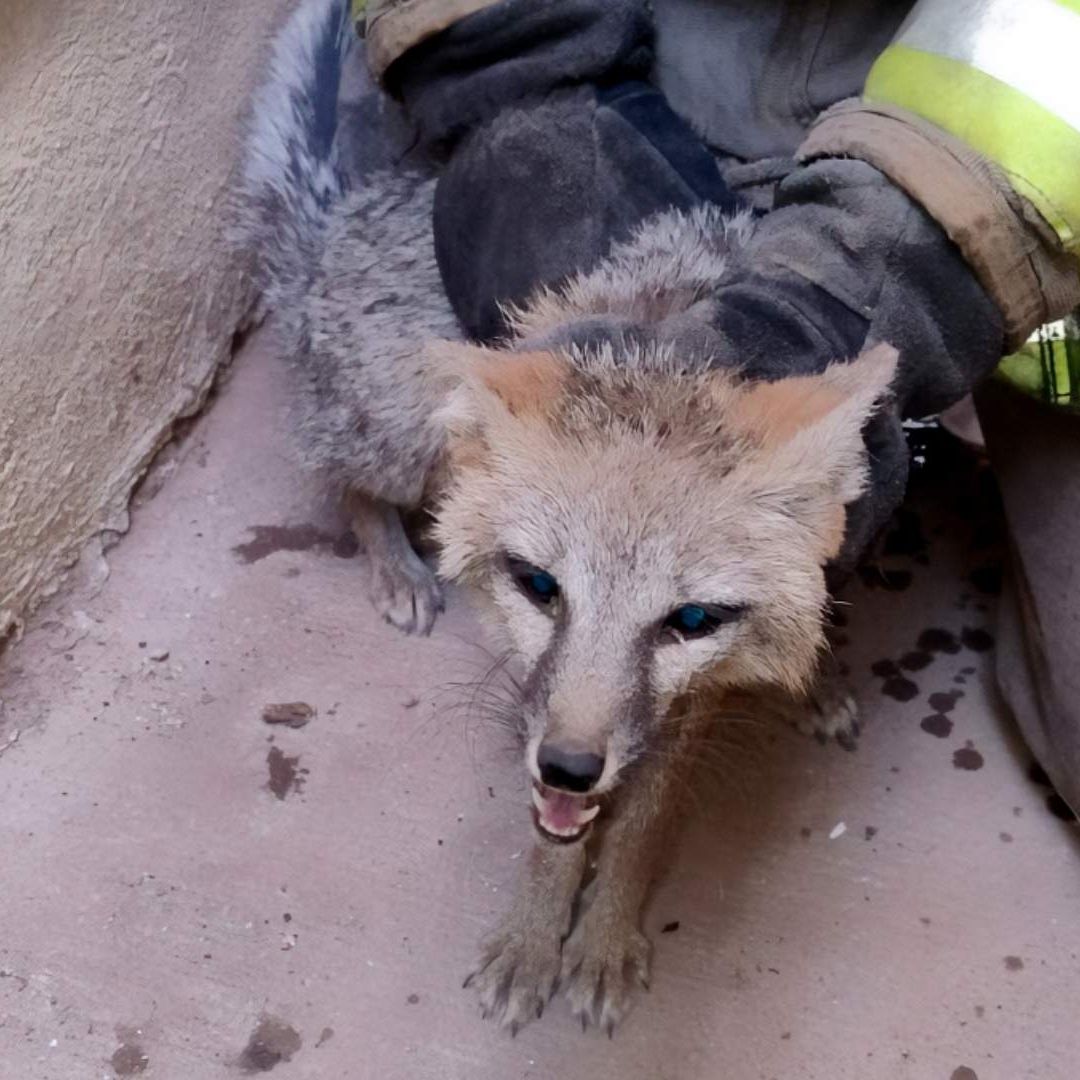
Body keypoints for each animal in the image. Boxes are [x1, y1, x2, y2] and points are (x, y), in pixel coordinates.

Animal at [238, 0, 896, 1034]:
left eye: (691, 619)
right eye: (539, 586)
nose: (569, 765)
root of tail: (353, 212)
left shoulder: (681, 708)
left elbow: (641, 823)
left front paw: (601, 936)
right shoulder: (538, 692)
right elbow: (554, 835)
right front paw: (533, 937)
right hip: (405, 432)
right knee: (341, 477)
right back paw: (394, 565)